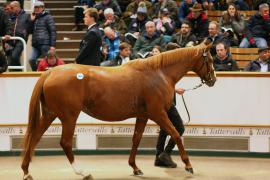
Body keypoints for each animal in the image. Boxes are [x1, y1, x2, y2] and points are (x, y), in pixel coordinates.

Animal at [21, 40, 216, 179]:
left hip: (50, 114)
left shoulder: (143, 116)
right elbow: (176, 134)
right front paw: (188, 165)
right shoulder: (158, 114)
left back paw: (26, 171)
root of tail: (51, 72)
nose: (213, 80)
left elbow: (136, 139)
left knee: (35, 137)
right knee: (65, 143)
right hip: (69, 117)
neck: (159, 73)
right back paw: (83, 172)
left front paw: (135, 167)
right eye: (209, 59)